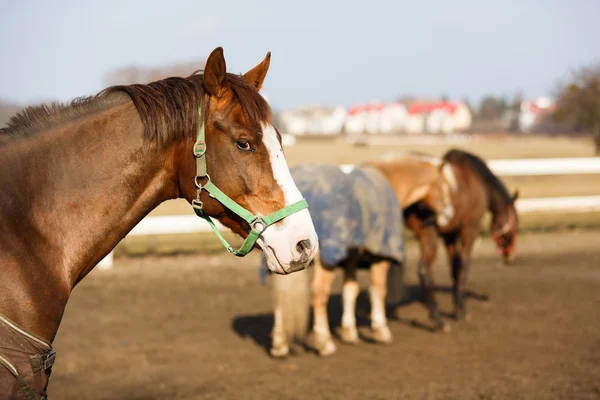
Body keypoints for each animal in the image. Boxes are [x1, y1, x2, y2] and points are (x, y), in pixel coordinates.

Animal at [266, 162, 404, 356]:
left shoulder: (351, 259)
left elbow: (351, 289)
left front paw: (349, 331)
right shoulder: (380, 256)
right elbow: (378, 289)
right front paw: (380, 330)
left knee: (279, 297)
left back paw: (279, 345)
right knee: (319, 292)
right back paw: (324, 342)